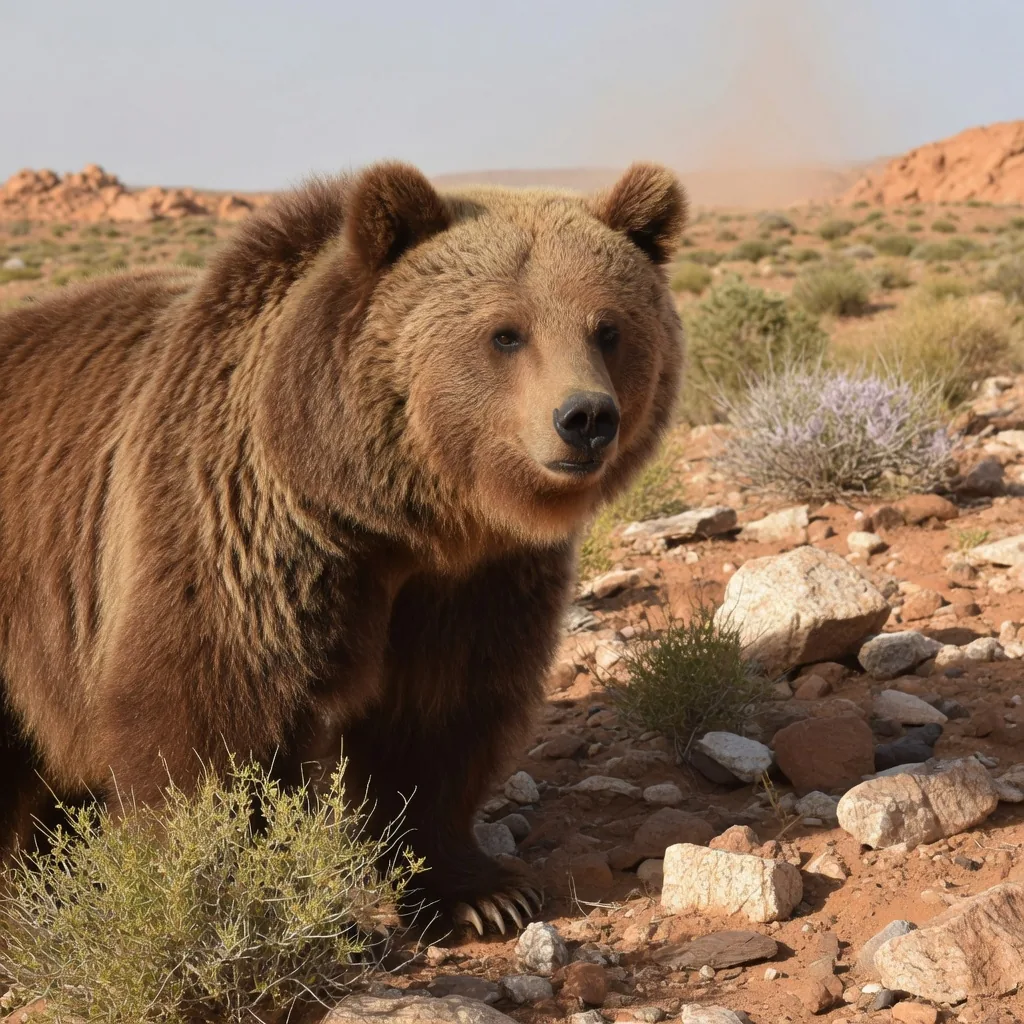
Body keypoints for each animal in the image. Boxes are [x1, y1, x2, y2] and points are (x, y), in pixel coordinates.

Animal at [0, 160, 686, 934]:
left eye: (609, 328)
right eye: (506, 334)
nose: (586, 417)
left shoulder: (474, 580)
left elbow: (439, 715)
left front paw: (481, 894)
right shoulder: (238, 530)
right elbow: (205, 717)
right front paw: (227, 895)